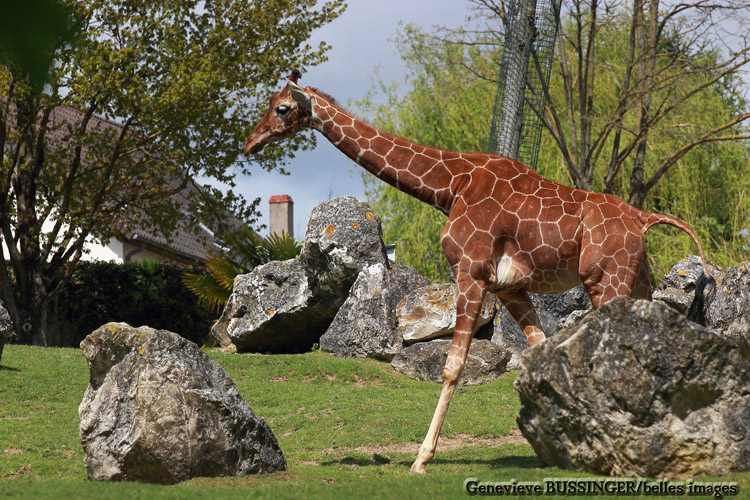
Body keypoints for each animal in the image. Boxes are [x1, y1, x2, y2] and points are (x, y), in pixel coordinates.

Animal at [245, 70, 716, 472]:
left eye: (282, 108)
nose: (250, 143)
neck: (450, 185)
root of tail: (643, 219)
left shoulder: (471, 273)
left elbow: (454, 366)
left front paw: (421, 460)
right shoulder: (510, 287)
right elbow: (540, 355)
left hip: (606, 281)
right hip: (637, 282)